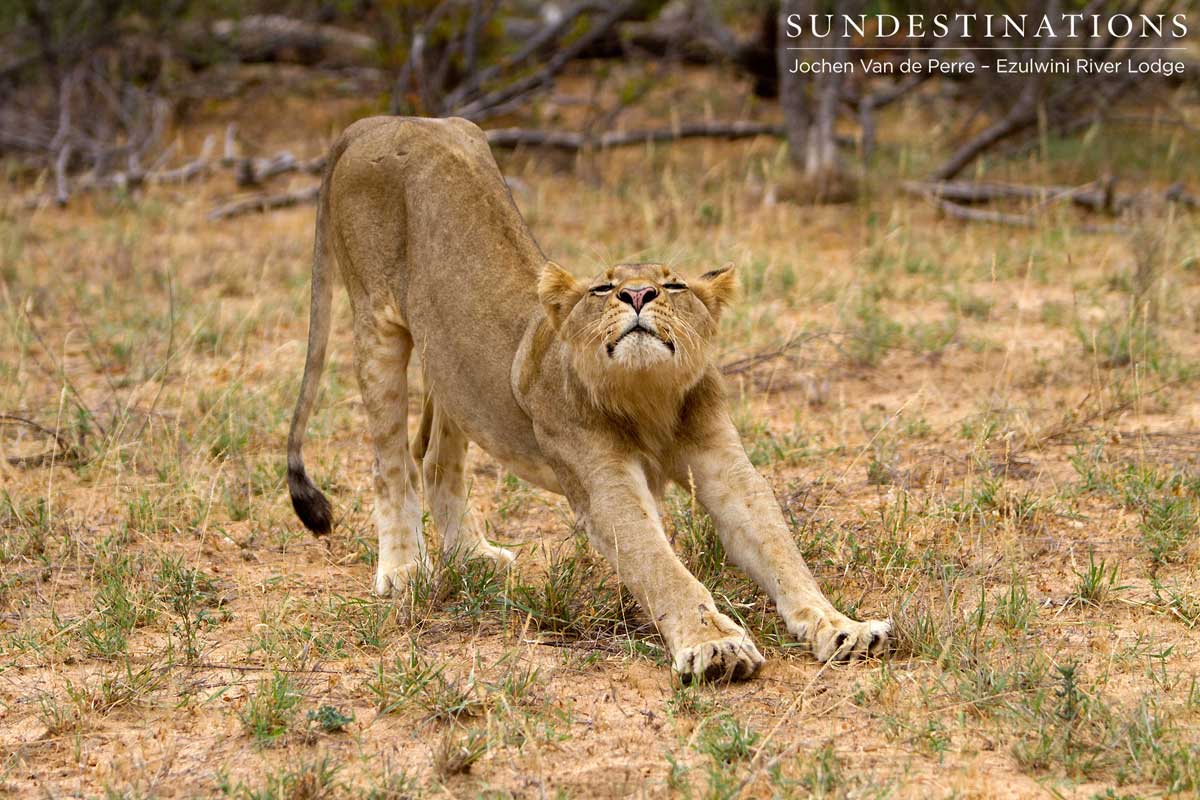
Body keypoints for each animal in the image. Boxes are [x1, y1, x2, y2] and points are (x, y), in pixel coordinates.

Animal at [286, 116, 890, 681]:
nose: (639, 293)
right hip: (377, 325)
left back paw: (474, 556)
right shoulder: (603, 485)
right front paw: (713, 645)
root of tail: (385, 121)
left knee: (434, 456)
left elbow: (781, 552)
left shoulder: (726, 468)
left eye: (674, 285)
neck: (648, 399)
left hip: (451, 364)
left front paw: (843, 627)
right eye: (603, 288)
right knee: (390, 462)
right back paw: (404, 571)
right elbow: (661, 566)